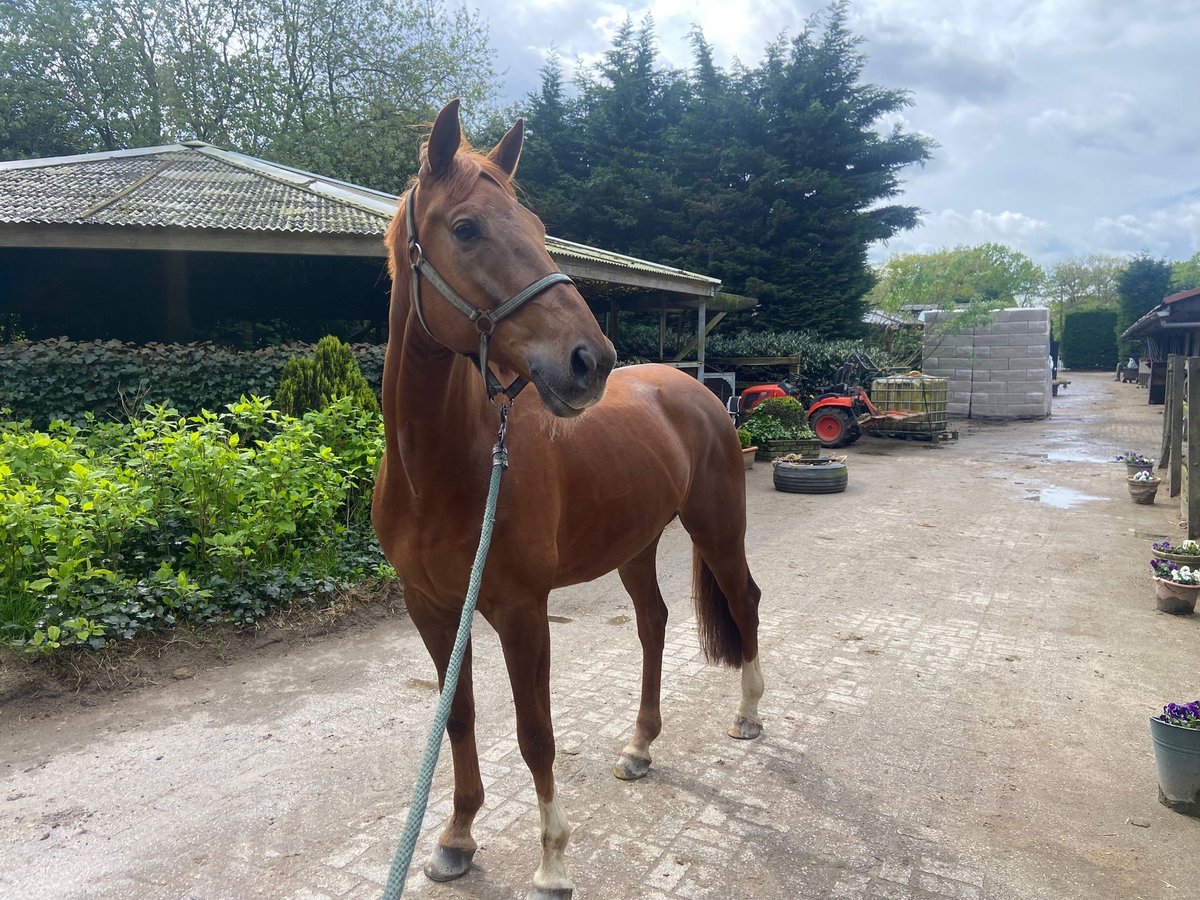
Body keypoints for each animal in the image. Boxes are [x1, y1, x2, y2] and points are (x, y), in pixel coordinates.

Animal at [374, 102, 763, 897]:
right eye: (466, 228)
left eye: (536, 224)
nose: (591, 360)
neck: (443, 471)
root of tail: (695, 389)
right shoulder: (431, 608)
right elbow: (459, 717)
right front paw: (457, 837)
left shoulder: (523, 612)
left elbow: (535, 734)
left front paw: (553, 860)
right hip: (637, 543)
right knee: (654, 623)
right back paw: (641, 745)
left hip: (717, 527)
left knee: (744, 602)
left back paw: (748, 716)